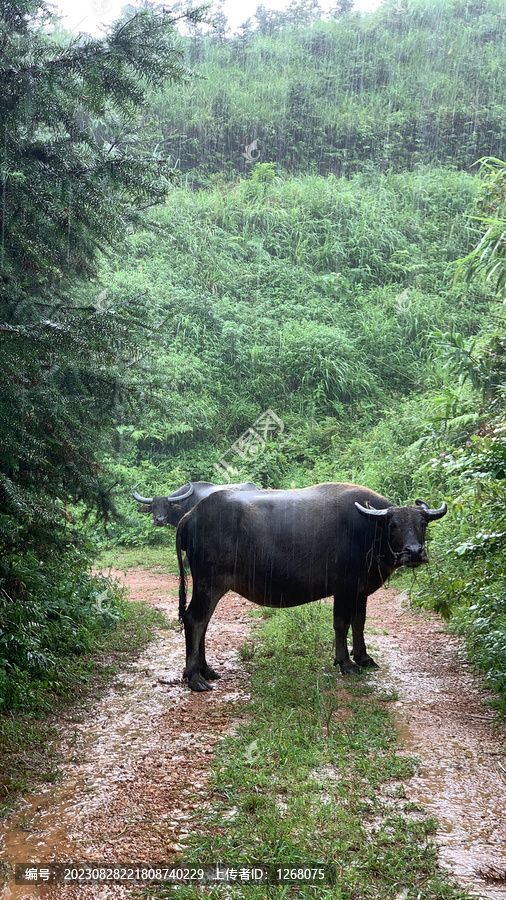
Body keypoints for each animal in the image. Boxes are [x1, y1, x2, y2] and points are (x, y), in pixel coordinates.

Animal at [176, 482, 444, 692]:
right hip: (209, 584)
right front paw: (345, 663)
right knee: (195, 620)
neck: (368, 529)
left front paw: (364, 657)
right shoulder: (344, 588)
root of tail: (190, 515)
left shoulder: (360, 591)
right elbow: (341, 623)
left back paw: (206, 670)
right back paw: (195, 677)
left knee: (203, 622)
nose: (414, 552)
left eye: (422, 523)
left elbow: (359, 622)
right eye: (393, 524)